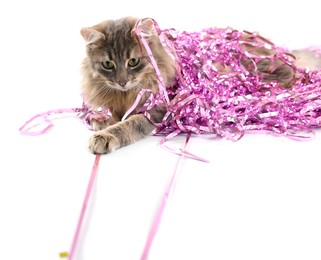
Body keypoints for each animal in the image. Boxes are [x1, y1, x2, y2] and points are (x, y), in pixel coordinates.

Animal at [79, 16, 318, 154]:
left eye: (133, 62)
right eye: (108, 64)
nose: (122, 81)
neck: (126, 95)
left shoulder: (157, 111)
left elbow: (128, 124)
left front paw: (105, 136)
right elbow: (103, 111)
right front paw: (101, 119)